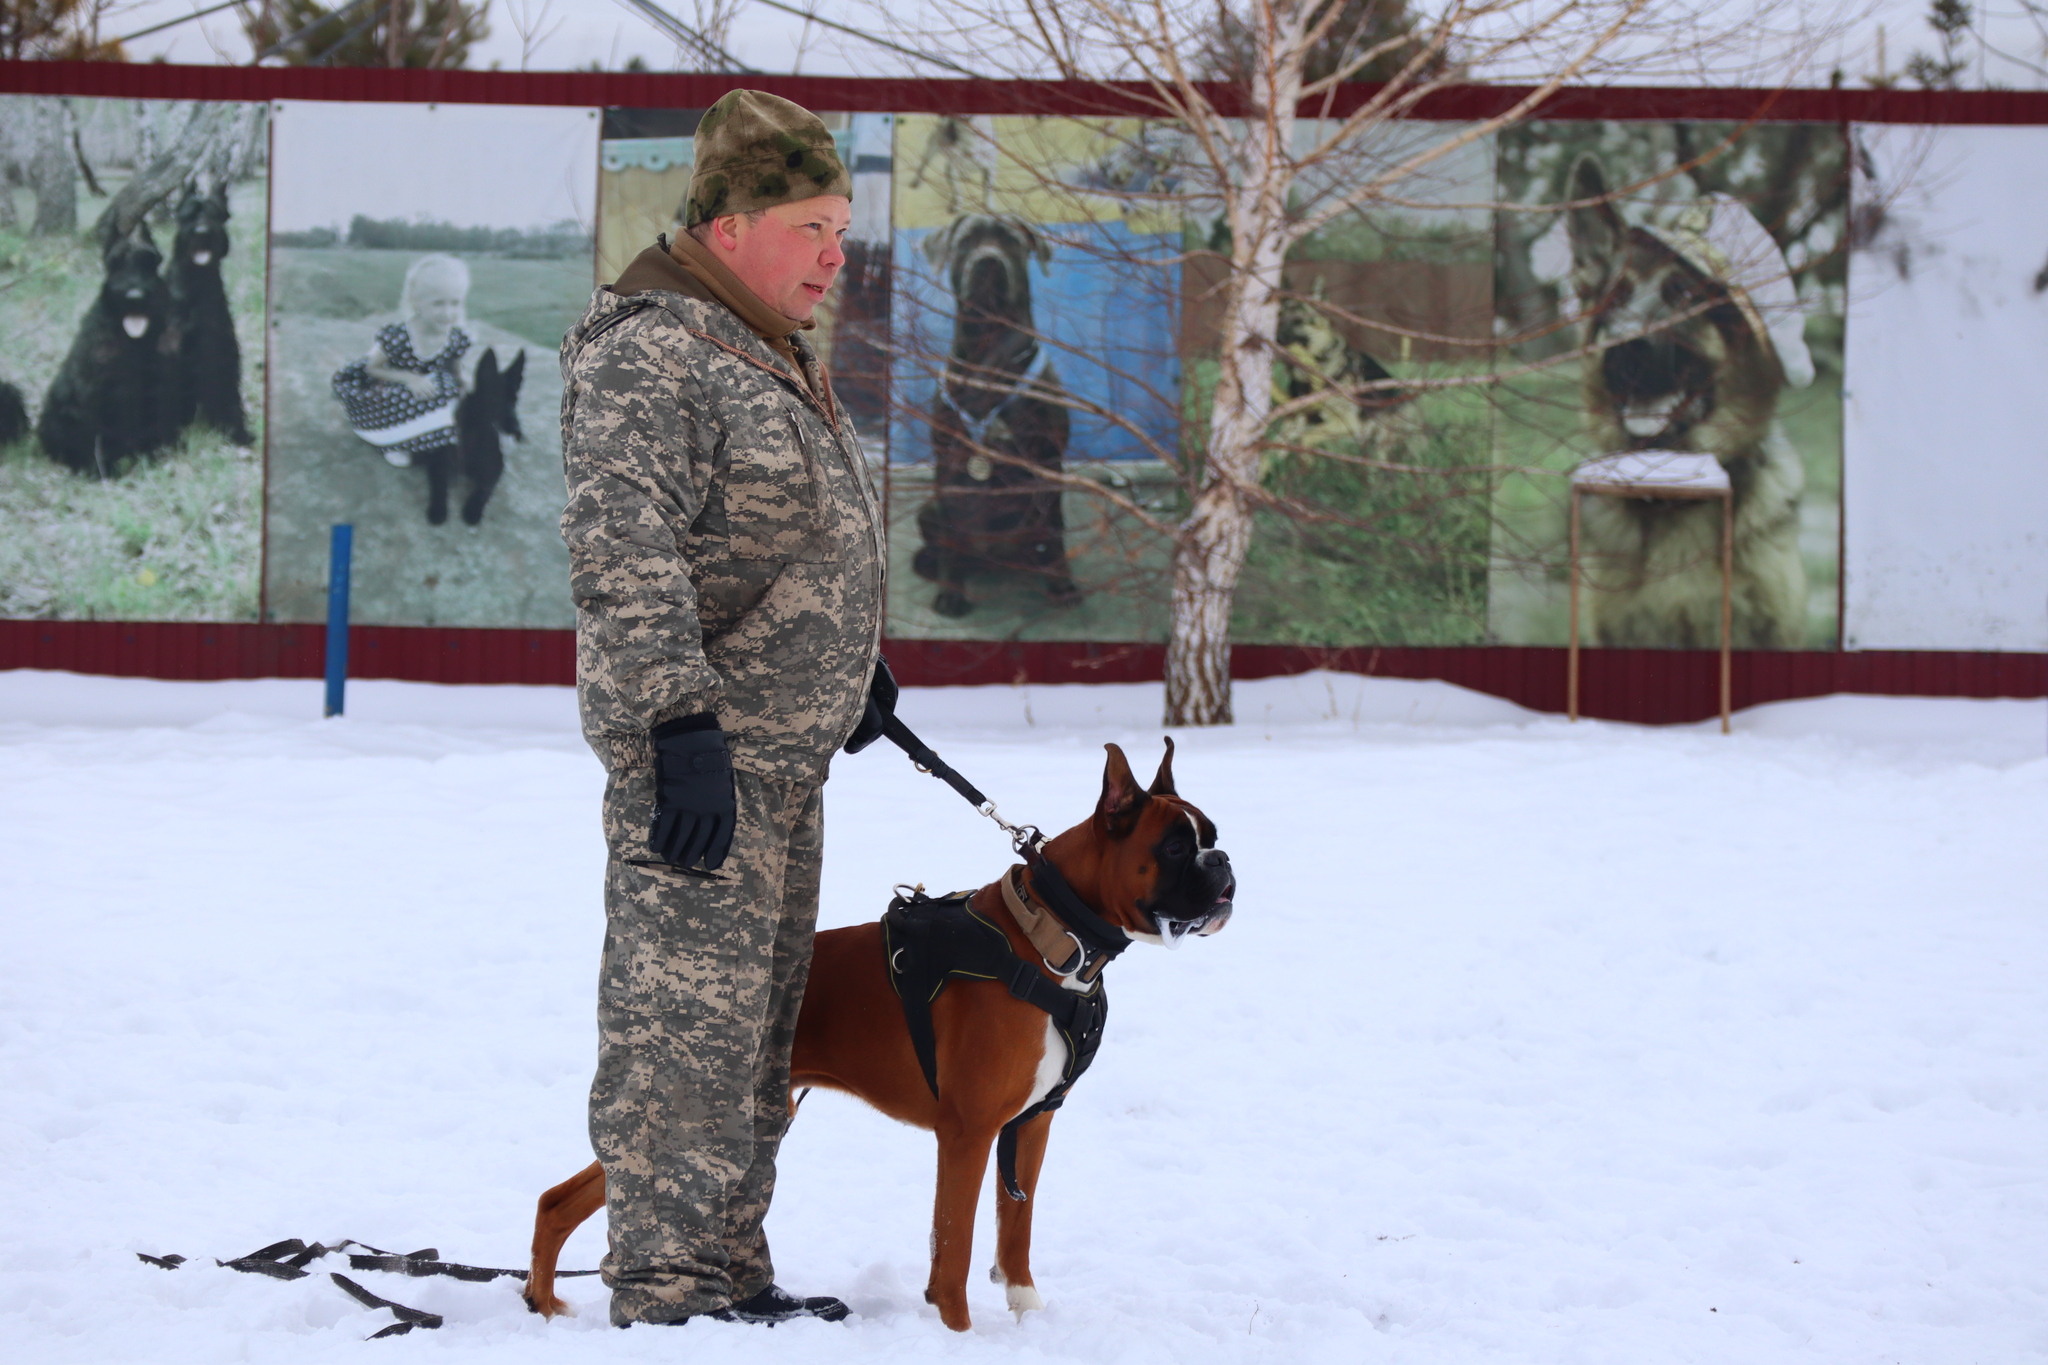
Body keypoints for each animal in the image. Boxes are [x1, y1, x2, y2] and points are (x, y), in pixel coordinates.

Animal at [528, 740, 1228, 1326]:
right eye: (1173, 847)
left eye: (1212, 837)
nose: (1221, 860)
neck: (1051, 937)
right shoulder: (968, 1132)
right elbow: (954, 1245)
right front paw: (958, 1334)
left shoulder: (1031, 1125)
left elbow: (1016, 1226)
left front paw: (1028, 1316)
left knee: (562, 1198)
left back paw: (542, 1299)